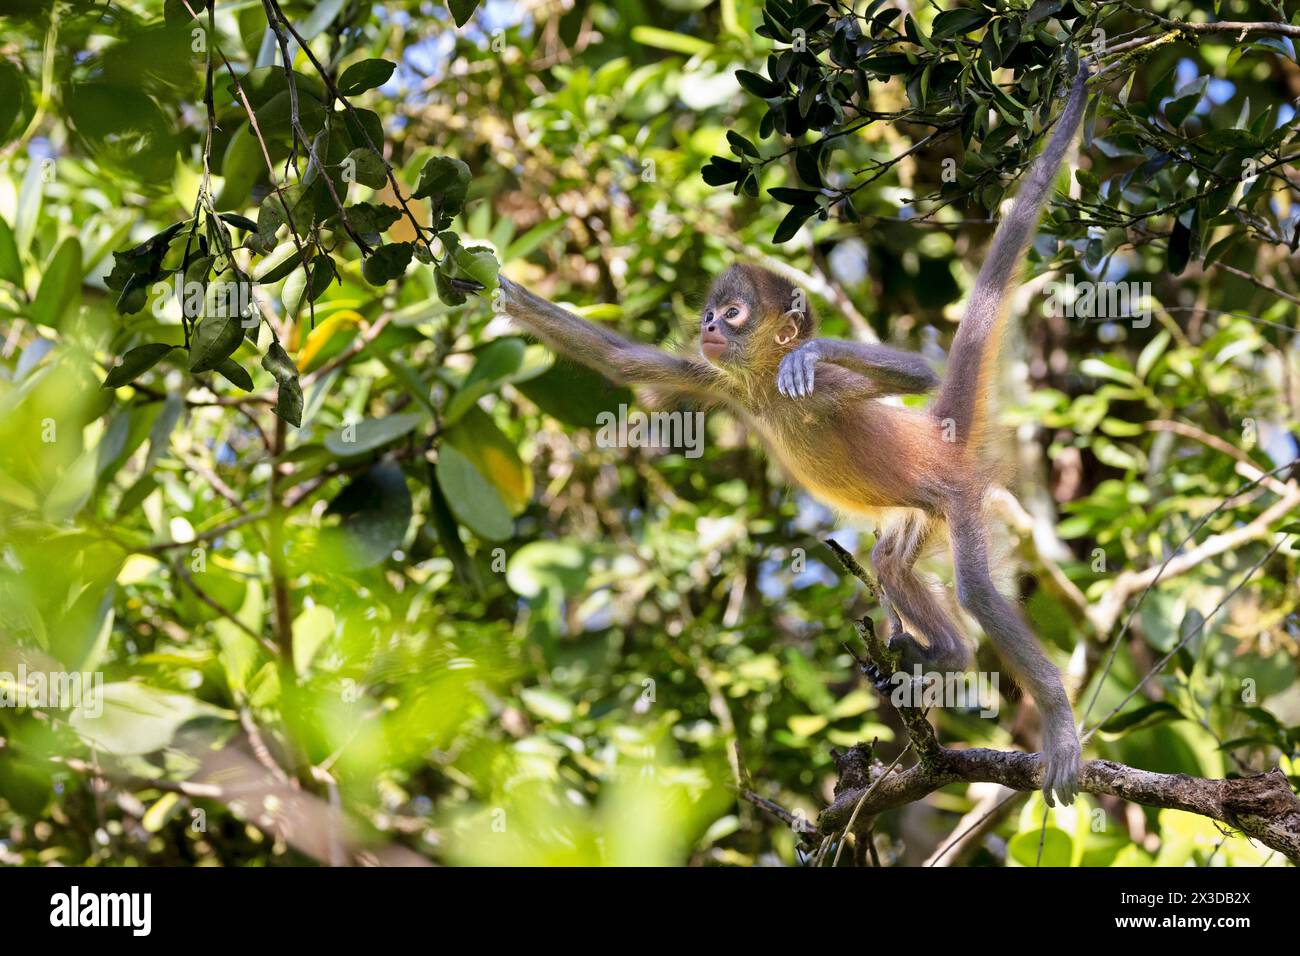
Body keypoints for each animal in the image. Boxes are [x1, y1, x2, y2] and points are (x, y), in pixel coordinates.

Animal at [501, 69, 1092, 806]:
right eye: (709, 315)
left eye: (731, 312)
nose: (709, 327)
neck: (760, 389)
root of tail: (939, 437)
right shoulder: (722, 382)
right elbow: (623, 363)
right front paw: (486, 286)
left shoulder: (810, 389)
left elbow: (913, 371)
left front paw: (806, 349)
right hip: (920, 512)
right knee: (891, 563)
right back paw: (946, 653)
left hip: (957, 499)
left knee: (978, 591)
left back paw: (1052, 721)